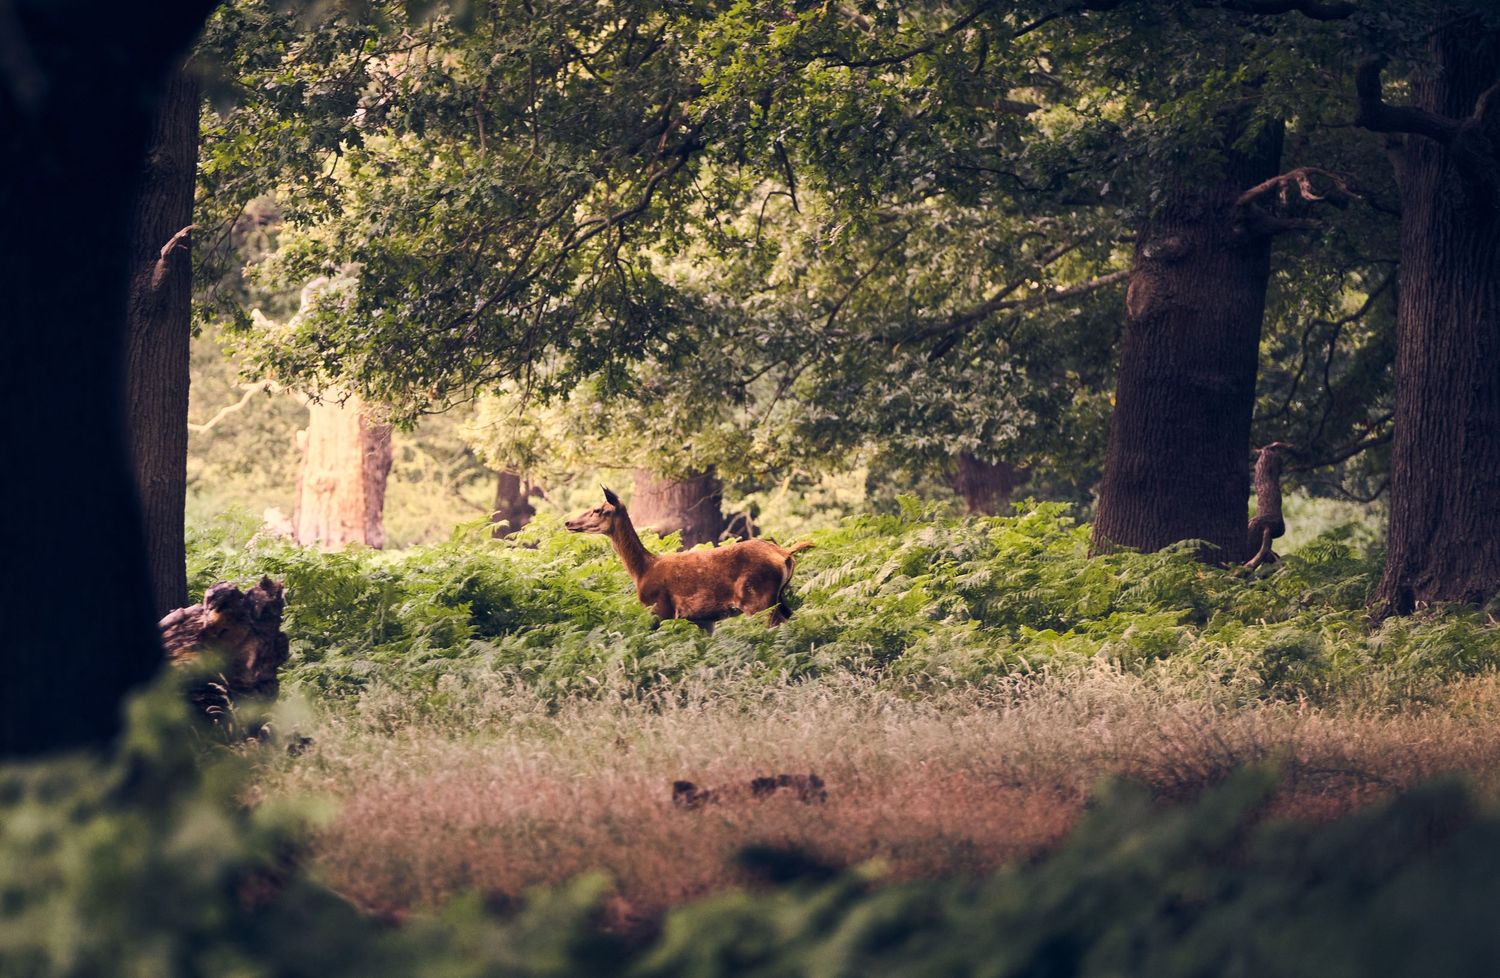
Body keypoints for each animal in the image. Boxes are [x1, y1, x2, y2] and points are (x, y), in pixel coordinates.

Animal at [566, 487, 814, 632]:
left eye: (598, 509)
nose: (568, 522)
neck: (642, 571)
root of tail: (784, 554)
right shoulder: (703, 619)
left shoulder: (660, 609)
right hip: (779, 598)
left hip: (758, 600)